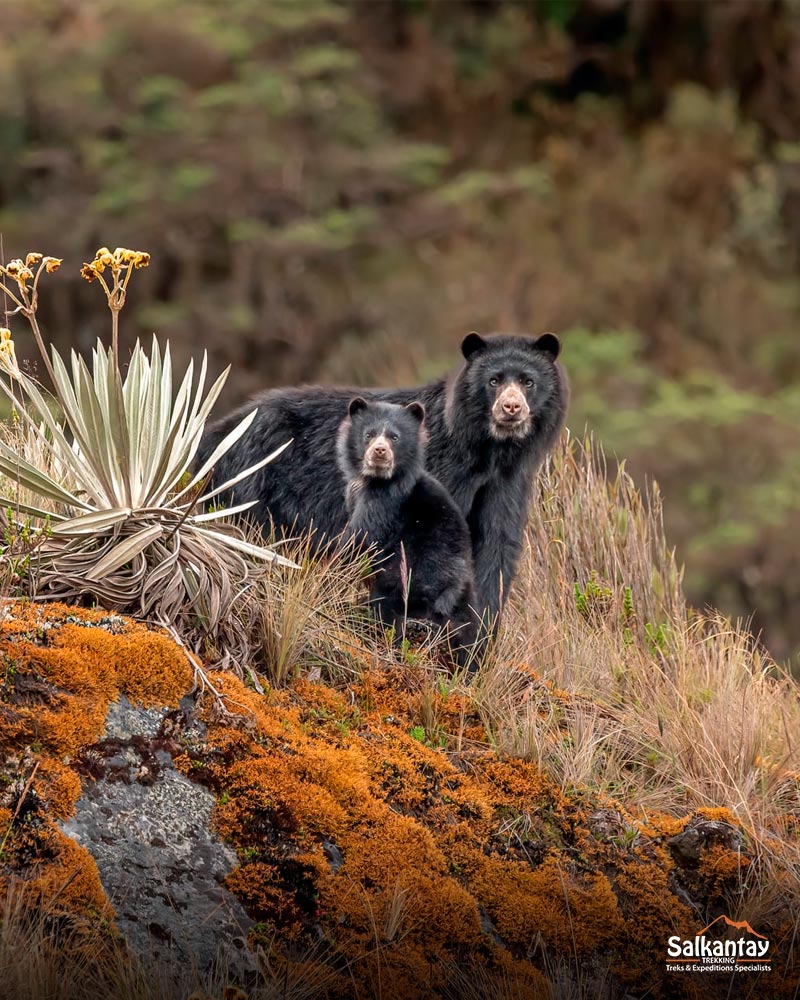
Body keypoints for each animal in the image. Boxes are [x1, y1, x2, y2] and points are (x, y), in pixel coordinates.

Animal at [199, 332, 568, 620]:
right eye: (494, 381)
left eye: (528, 381)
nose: (511, 408)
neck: (489, 451)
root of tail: (217, 431)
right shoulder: (437, 474)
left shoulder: (508, 482)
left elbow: (496, 546)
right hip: (253, 481)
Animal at [336, 394, 478, 660]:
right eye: (369, 434)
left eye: (394, 437)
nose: (380, 451)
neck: (375, 479)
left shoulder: (385, 502)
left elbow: (360, 538)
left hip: (409, 573)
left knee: (387, 604)